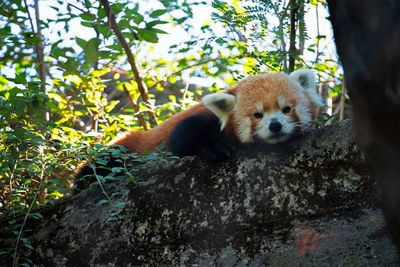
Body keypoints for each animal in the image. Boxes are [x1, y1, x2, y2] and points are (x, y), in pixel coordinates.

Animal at [75, 70, 324, 188]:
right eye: (257, 115)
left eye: (286, 109)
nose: (275, 125)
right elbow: (180, 140)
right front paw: (214, 147)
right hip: (122, 150)